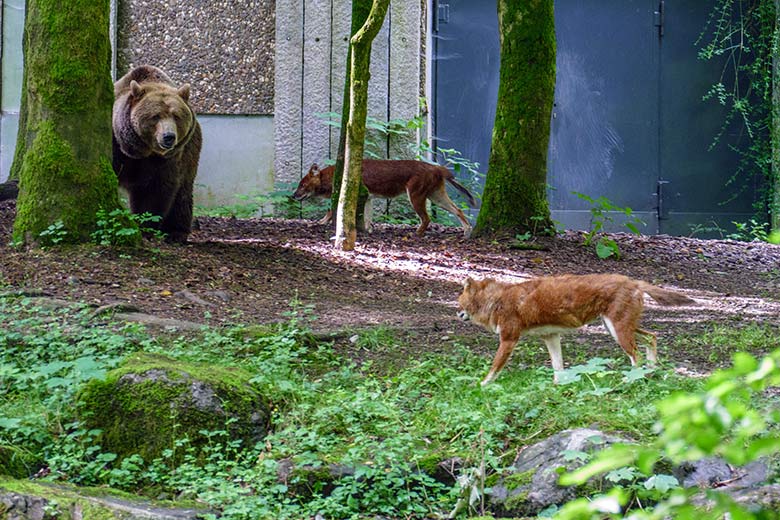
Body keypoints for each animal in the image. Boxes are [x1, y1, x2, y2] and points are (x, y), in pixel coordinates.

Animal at [114, 66, 204, 243]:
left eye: (176, 116)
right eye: (155, 116)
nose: (168, 136)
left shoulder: (168, 159)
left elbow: (156, 189)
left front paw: (146, 226)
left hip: (191, 152)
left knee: (182, 194)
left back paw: (176, 232)